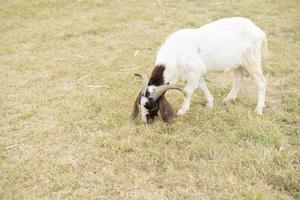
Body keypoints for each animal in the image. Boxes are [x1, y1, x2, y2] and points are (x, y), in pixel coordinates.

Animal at [132, 17, 268, 123]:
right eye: (140, 103)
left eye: (152, 105)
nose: (145, 121)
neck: (176, 53)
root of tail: (259, 31)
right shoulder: (197, 72)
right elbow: (202, 86)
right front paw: (210, 104)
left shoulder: (194, 70)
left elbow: (187, 91)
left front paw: (182, 111)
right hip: (238, 64)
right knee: (238, 79)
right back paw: (228, 100)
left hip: (252, 60)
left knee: (261, 82)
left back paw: (258, 109)